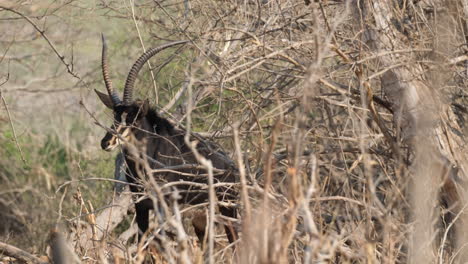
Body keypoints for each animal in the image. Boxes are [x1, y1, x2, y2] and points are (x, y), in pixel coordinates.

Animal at [95, 36, 239, 246]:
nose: (106, 142)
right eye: (115, 116)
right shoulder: (140, 204)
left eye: (134, 119)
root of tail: (232, 165)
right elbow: (142, 240)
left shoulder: (162, 203)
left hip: (227, 205)